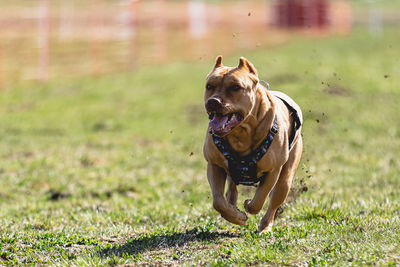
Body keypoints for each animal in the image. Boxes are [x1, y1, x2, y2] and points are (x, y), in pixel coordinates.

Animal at [203, 55, 304, 233]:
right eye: (209, 86)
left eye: (235, 87)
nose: (213, 101)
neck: (241, 133)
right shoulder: (214, 164)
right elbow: (218, 201)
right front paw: (236, 216)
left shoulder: (273, 170)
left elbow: (260, 198)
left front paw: (248, 206)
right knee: (231, 187)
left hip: (286, 178)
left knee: (274, 201)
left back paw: (265, 226)